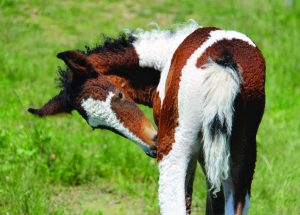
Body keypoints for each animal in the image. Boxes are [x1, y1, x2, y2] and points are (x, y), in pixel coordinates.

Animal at [29, 21, 264, 214]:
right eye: (97, 126)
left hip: (175, 150)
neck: (165, 55)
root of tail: (222, 62)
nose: (152, 143)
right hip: (242, 156)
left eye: (119, 94)